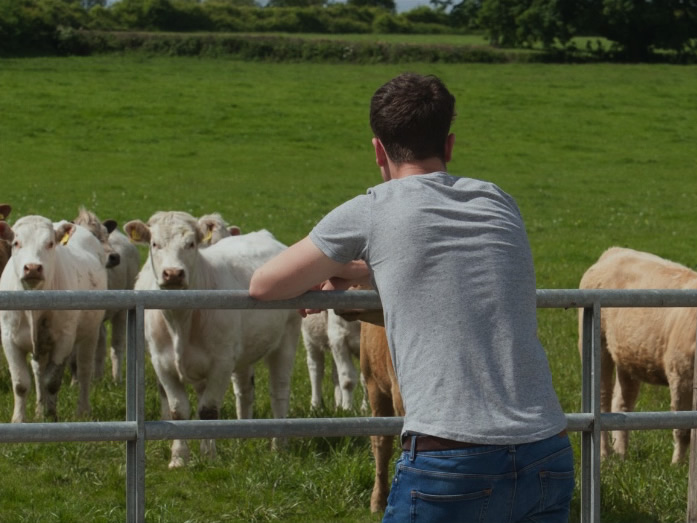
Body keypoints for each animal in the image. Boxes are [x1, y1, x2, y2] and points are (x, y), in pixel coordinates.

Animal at [0, 215, 106, 424]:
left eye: (49, 243)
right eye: (16, 243)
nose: (33, 268)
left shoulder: (64, 339)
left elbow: (52, 381)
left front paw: (51, 416)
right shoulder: (9, 339)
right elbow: (21, 383)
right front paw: (19, 419)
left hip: (91, 333)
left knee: (84, 369)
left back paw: (83, 410)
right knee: (38, 371)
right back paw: (39, 410)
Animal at [126, 211, 300, 468]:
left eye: (191, 244)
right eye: (154, 244)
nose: (173, 273)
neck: (181, 322)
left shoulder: (222, 363)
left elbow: (208, 411)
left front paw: (209, 457)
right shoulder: (161, 364)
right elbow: (179, 411)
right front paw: (179, 458)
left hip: (286, 338)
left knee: (279, 391)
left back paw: (278, 447)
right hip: (242, 353)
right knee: (244, 392)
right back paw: (241, 440)